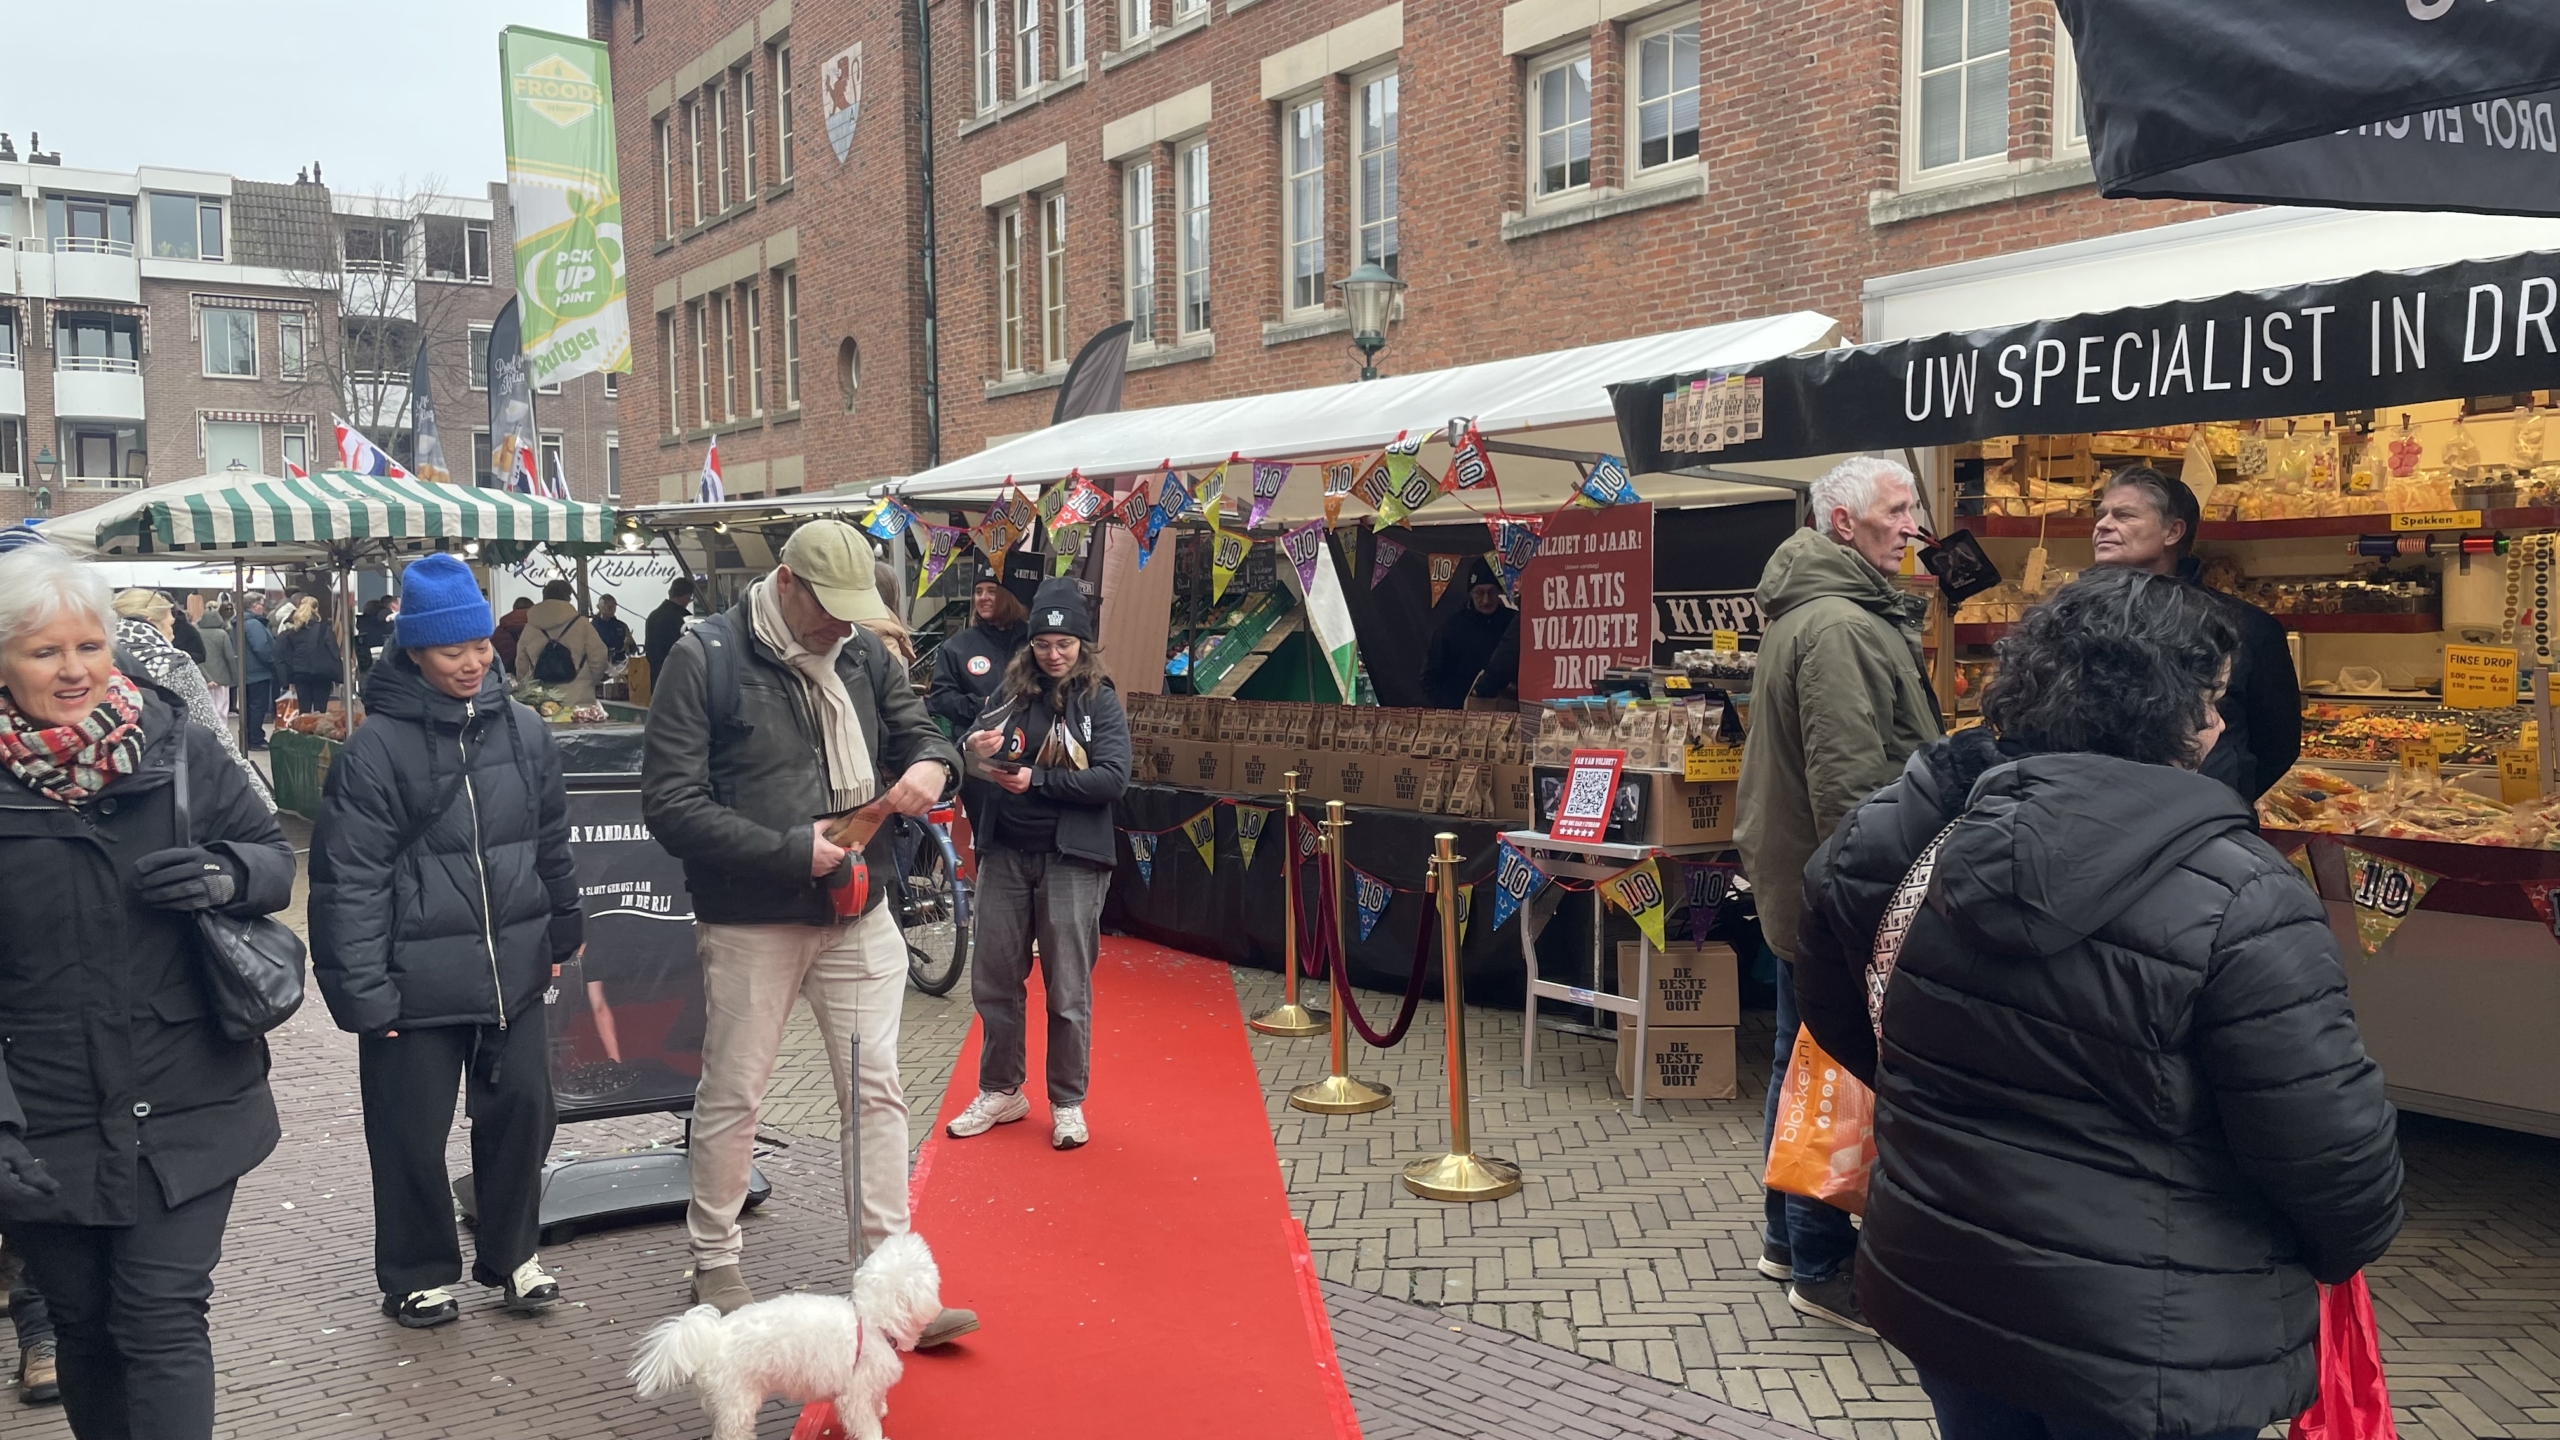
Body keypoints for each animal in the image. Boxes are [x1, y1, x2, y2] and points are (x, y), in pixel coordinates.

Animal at [624, 1219, 947, 1434]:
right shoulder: (853, 1396)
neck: (872, 1321)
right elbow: (865, 1425)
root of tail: (712, 1338)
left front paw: (881, 1409)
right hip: (737, 1400)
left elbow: (877, 1399)